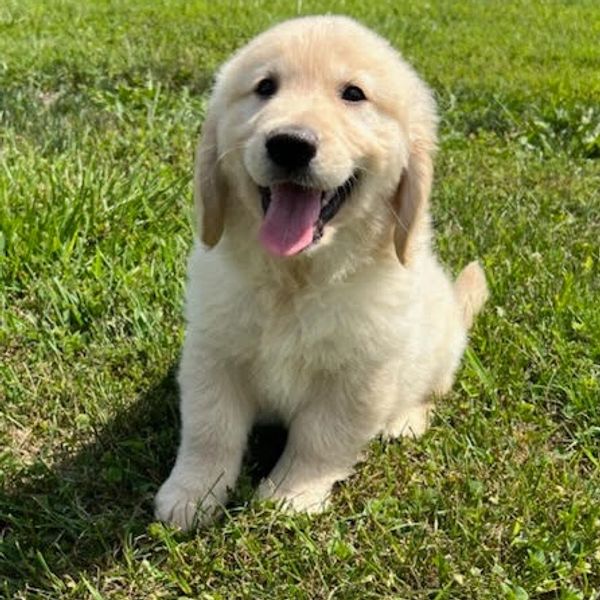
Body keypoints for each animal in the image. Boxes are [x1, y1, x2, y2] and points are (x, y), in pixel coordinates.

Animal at [155, 15, 488, 530]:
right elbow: (211, 428)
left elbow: (321, 437)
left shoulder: (360, 376)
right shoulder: (214, 351)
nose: (290, 144)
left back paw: (405, 420)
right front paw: (192, 492)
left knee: (431, 389)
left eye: (353, 94)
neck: (295, 278)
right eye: (265, 87)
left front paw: (290, 495)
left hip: (442, 349)